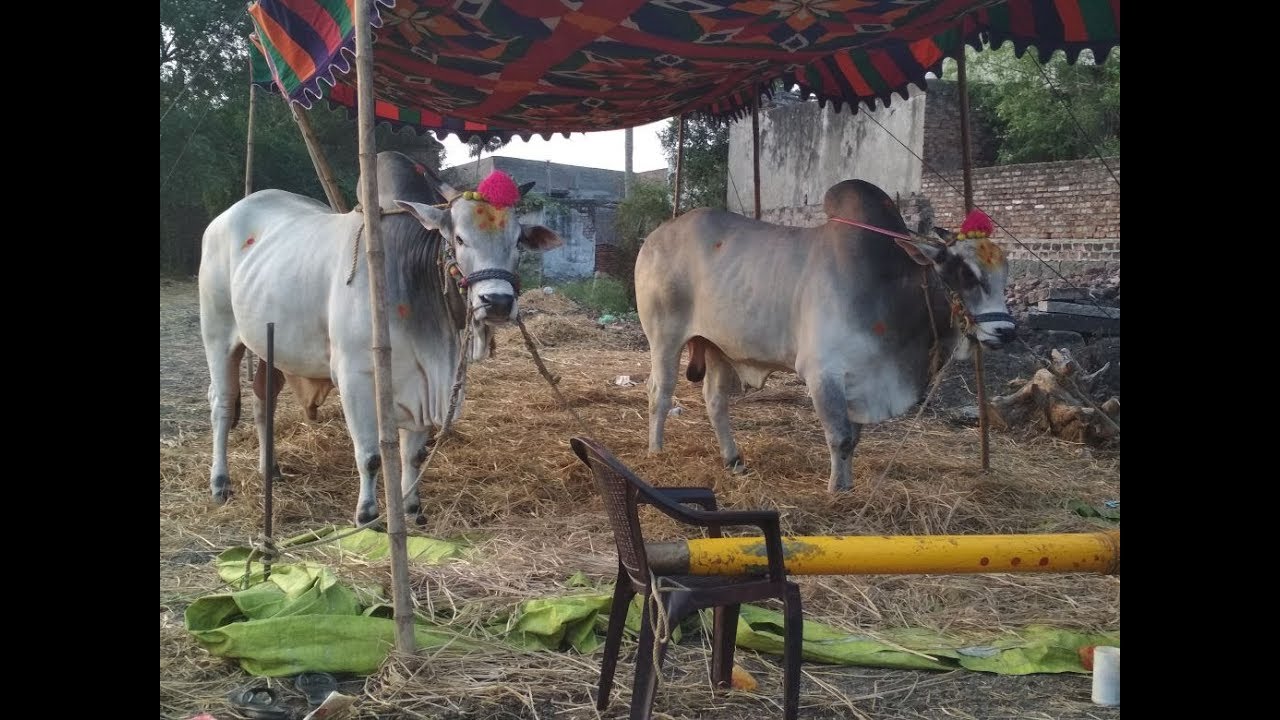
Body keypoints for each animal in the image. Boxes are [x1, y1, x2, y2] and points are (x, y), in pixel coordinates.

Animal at [199, 151, 562, 524]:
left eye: (517, 242)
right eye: (459, 238)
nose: (498, 302)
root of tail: (225, 217)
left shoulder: (422, 384)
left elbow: (413, 456)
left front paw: (412, 509)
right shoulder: (354, 377)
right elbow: (370, 456)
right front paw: (367, 515)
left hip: (268, 345)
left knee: (262, 399)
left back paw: (269, 469)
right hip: (217, 332)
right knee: (222, 402)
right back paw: (220, 483)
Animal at [634, 179, 1016, 493]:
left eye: (1004, 272)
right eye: (966, 272)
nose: (1006, 332)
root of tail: (654, 237)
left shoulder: (860, 381)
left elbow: (854, 439)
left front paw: (846, 486)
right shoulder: (823, 373)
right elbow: (841, 438)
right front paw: (836, 491)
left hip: (718, 346)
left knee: (714, 400)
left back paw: (733, 460)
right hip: (664, 338)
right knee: (659, 392)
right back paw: (655, 451)